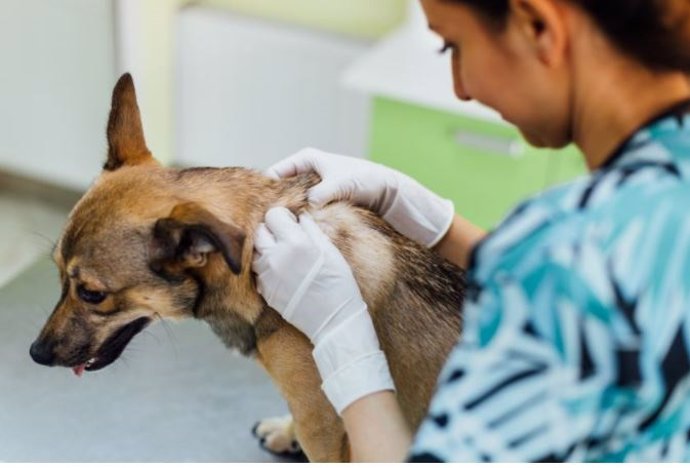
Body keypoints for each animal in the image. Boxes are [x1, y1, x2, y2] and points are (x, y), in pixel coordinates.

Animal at [30, 73, 462, 460]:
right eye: (57, 273)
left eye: (92, 294)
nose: (36, 353)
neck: (255, 261)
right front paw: (284, 430)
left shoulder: (323, 428)